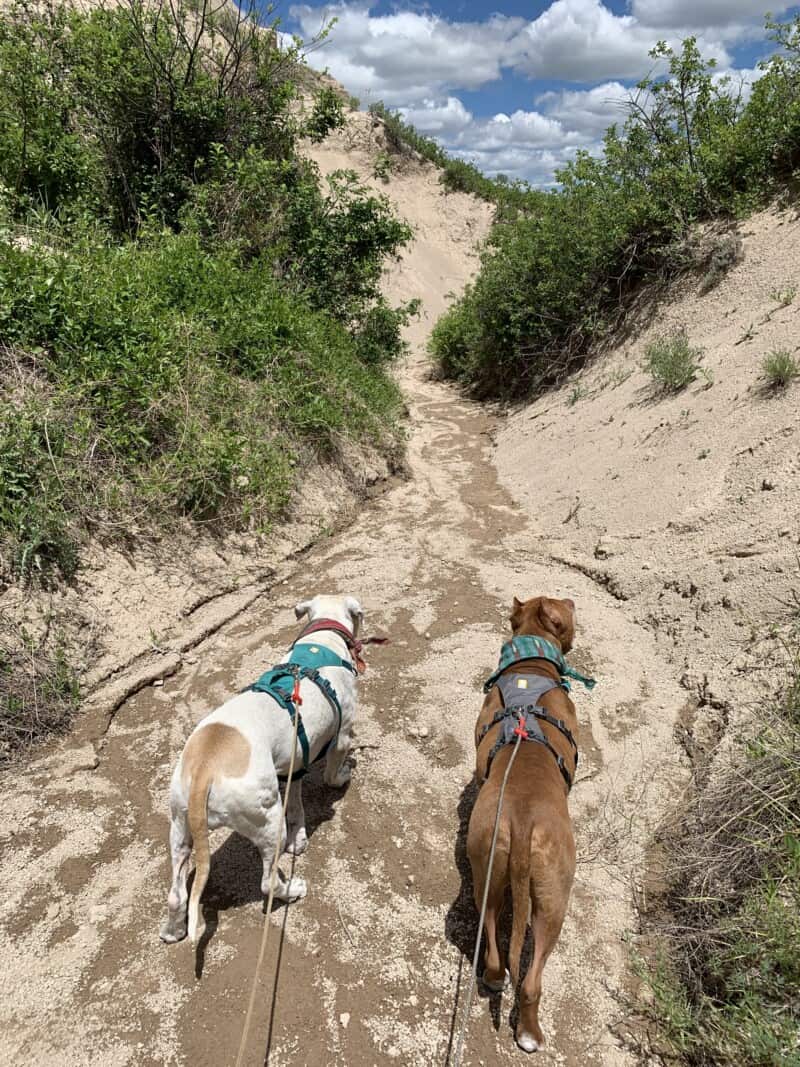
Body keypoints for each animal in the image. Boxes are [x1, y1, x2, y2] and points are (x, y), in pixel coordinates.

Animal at [161, 597, 362, 947]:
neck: (322, 637)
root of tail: (205, 772)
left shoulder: (292, 765)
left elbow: (296, 804)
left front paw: (300, 837)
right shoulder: (342, 734)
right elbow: (332, 772)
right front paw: (342, 776)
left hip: (180, 828)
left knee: (176, 894)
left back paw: (172, 931)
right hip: (268, 825)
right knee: (268, 883)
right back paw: (292, 889)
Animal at [462, 597, 584, 1054]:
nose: (573, 600)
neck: (530, 667)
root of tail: (522, 820)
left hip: (487, 871)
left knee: (495, 949)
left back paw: (494, 978)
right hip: (553, 902)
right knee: (531, 980)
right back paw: (530, 1033)